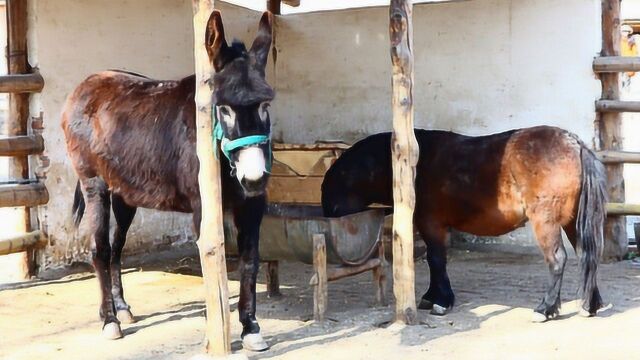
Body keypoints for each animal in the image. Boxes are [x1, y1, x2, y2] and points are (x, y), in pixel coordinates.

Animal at [62, 9, 276, 350]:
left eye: (266, 104)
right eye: (223, 109)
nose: (254, 179)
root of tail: (87, 82)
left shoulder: (252, 206)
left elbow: (250, 260)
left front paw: (250, 327)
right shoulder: (204, 208)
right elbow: (210, 257)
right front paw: (217, 333)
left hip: (125, 194)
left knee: (117, 246)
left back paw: (122, 309)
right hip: (94, 184)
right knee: (99, 248)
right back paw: (109, 320)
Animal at [322, 126, 608, 320]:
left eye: (334, 189)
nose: (326, 215)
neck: (412, 164)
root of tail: (575, 144)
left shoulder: (432, 224)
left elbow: (436, 260)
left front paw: (441, 301)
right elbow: (436, 260)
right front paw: (431, 297)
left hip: (545, 221)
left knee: (557, 260)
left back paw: (545, 308)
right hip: (571, 222)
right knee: (586, 256)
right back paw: (589, 305)